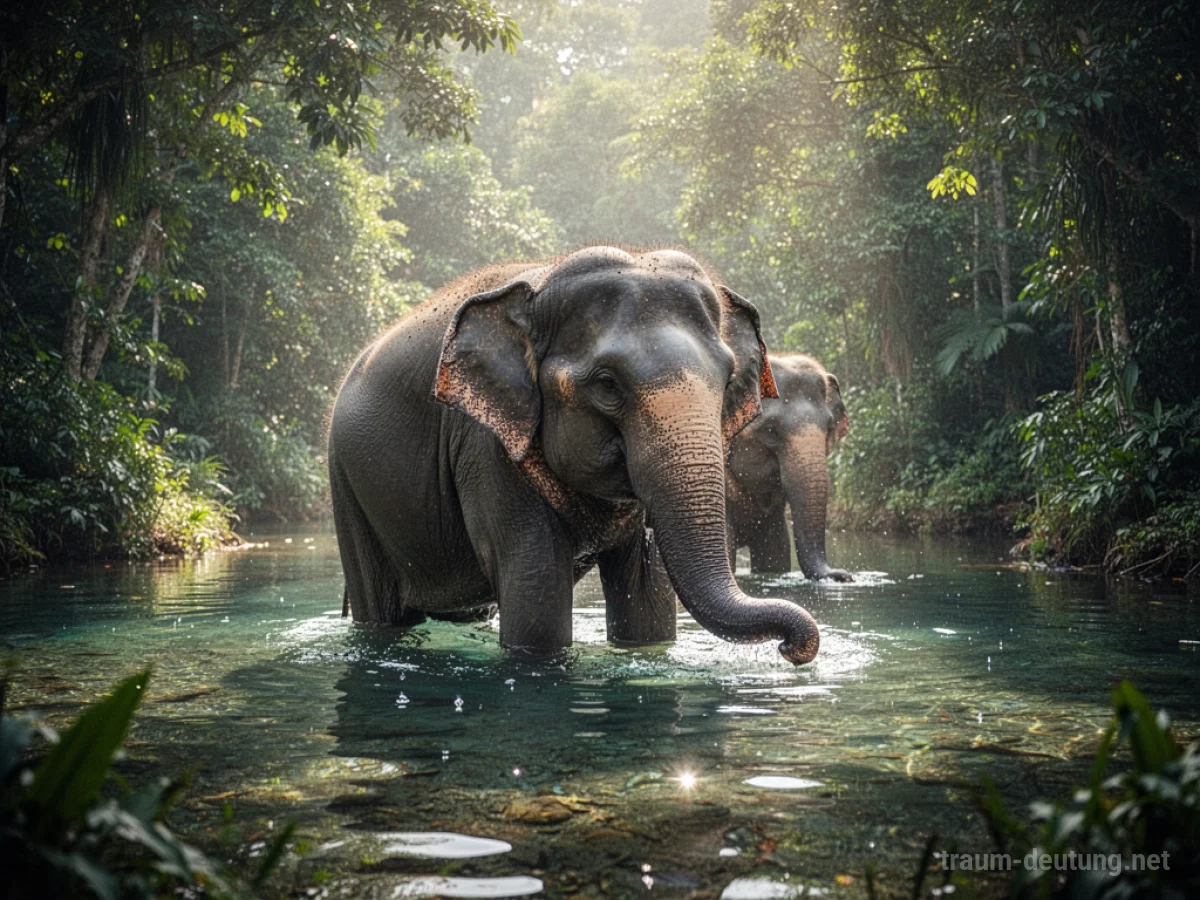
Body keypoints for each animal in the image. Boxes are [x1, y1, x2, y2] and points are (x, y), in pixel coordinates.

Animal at [328, 247, 820, 665]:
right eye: (607, 384)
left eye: (728, 378)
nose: (790, 648)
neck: (543, 279)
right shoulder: (486, 446)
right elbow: (537, 586)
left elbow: (647, 598)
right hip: (348, 486)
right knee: (381, 609)